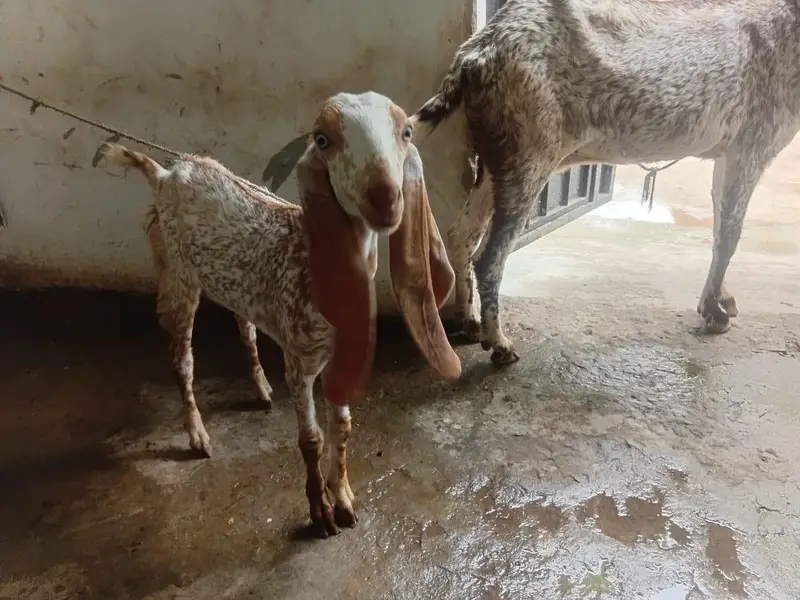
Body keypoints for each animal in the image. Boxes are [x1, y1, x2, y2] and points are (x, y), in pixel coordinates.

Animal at [101, 91, 461, 538]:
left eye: (406, 131)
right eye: (322, 140)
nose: (385, 197)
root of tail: (168, 171)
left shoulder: (339, 355)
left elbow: (343, 428)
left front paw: (344, 498)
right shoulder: (299, 360)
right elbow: (312, 439)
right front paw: (321, 512)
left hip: (230, 281)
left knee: (244, 326)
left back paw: (260, 387)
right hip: (177, 273)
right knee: (182, 359)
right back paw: (197, 434)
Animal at [412, 0, 800, 365]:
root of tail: (480, 48)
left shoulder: (728, 153)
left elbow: (721, 229)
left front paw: (718, 300)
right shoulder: (752, 145)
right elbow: (730, 235)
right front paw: (714, 311)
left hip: (498, 159)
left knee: (461, 235)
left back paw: (470, 321)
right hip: (529, 156)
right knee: (489, 257)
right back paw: (499, 343)